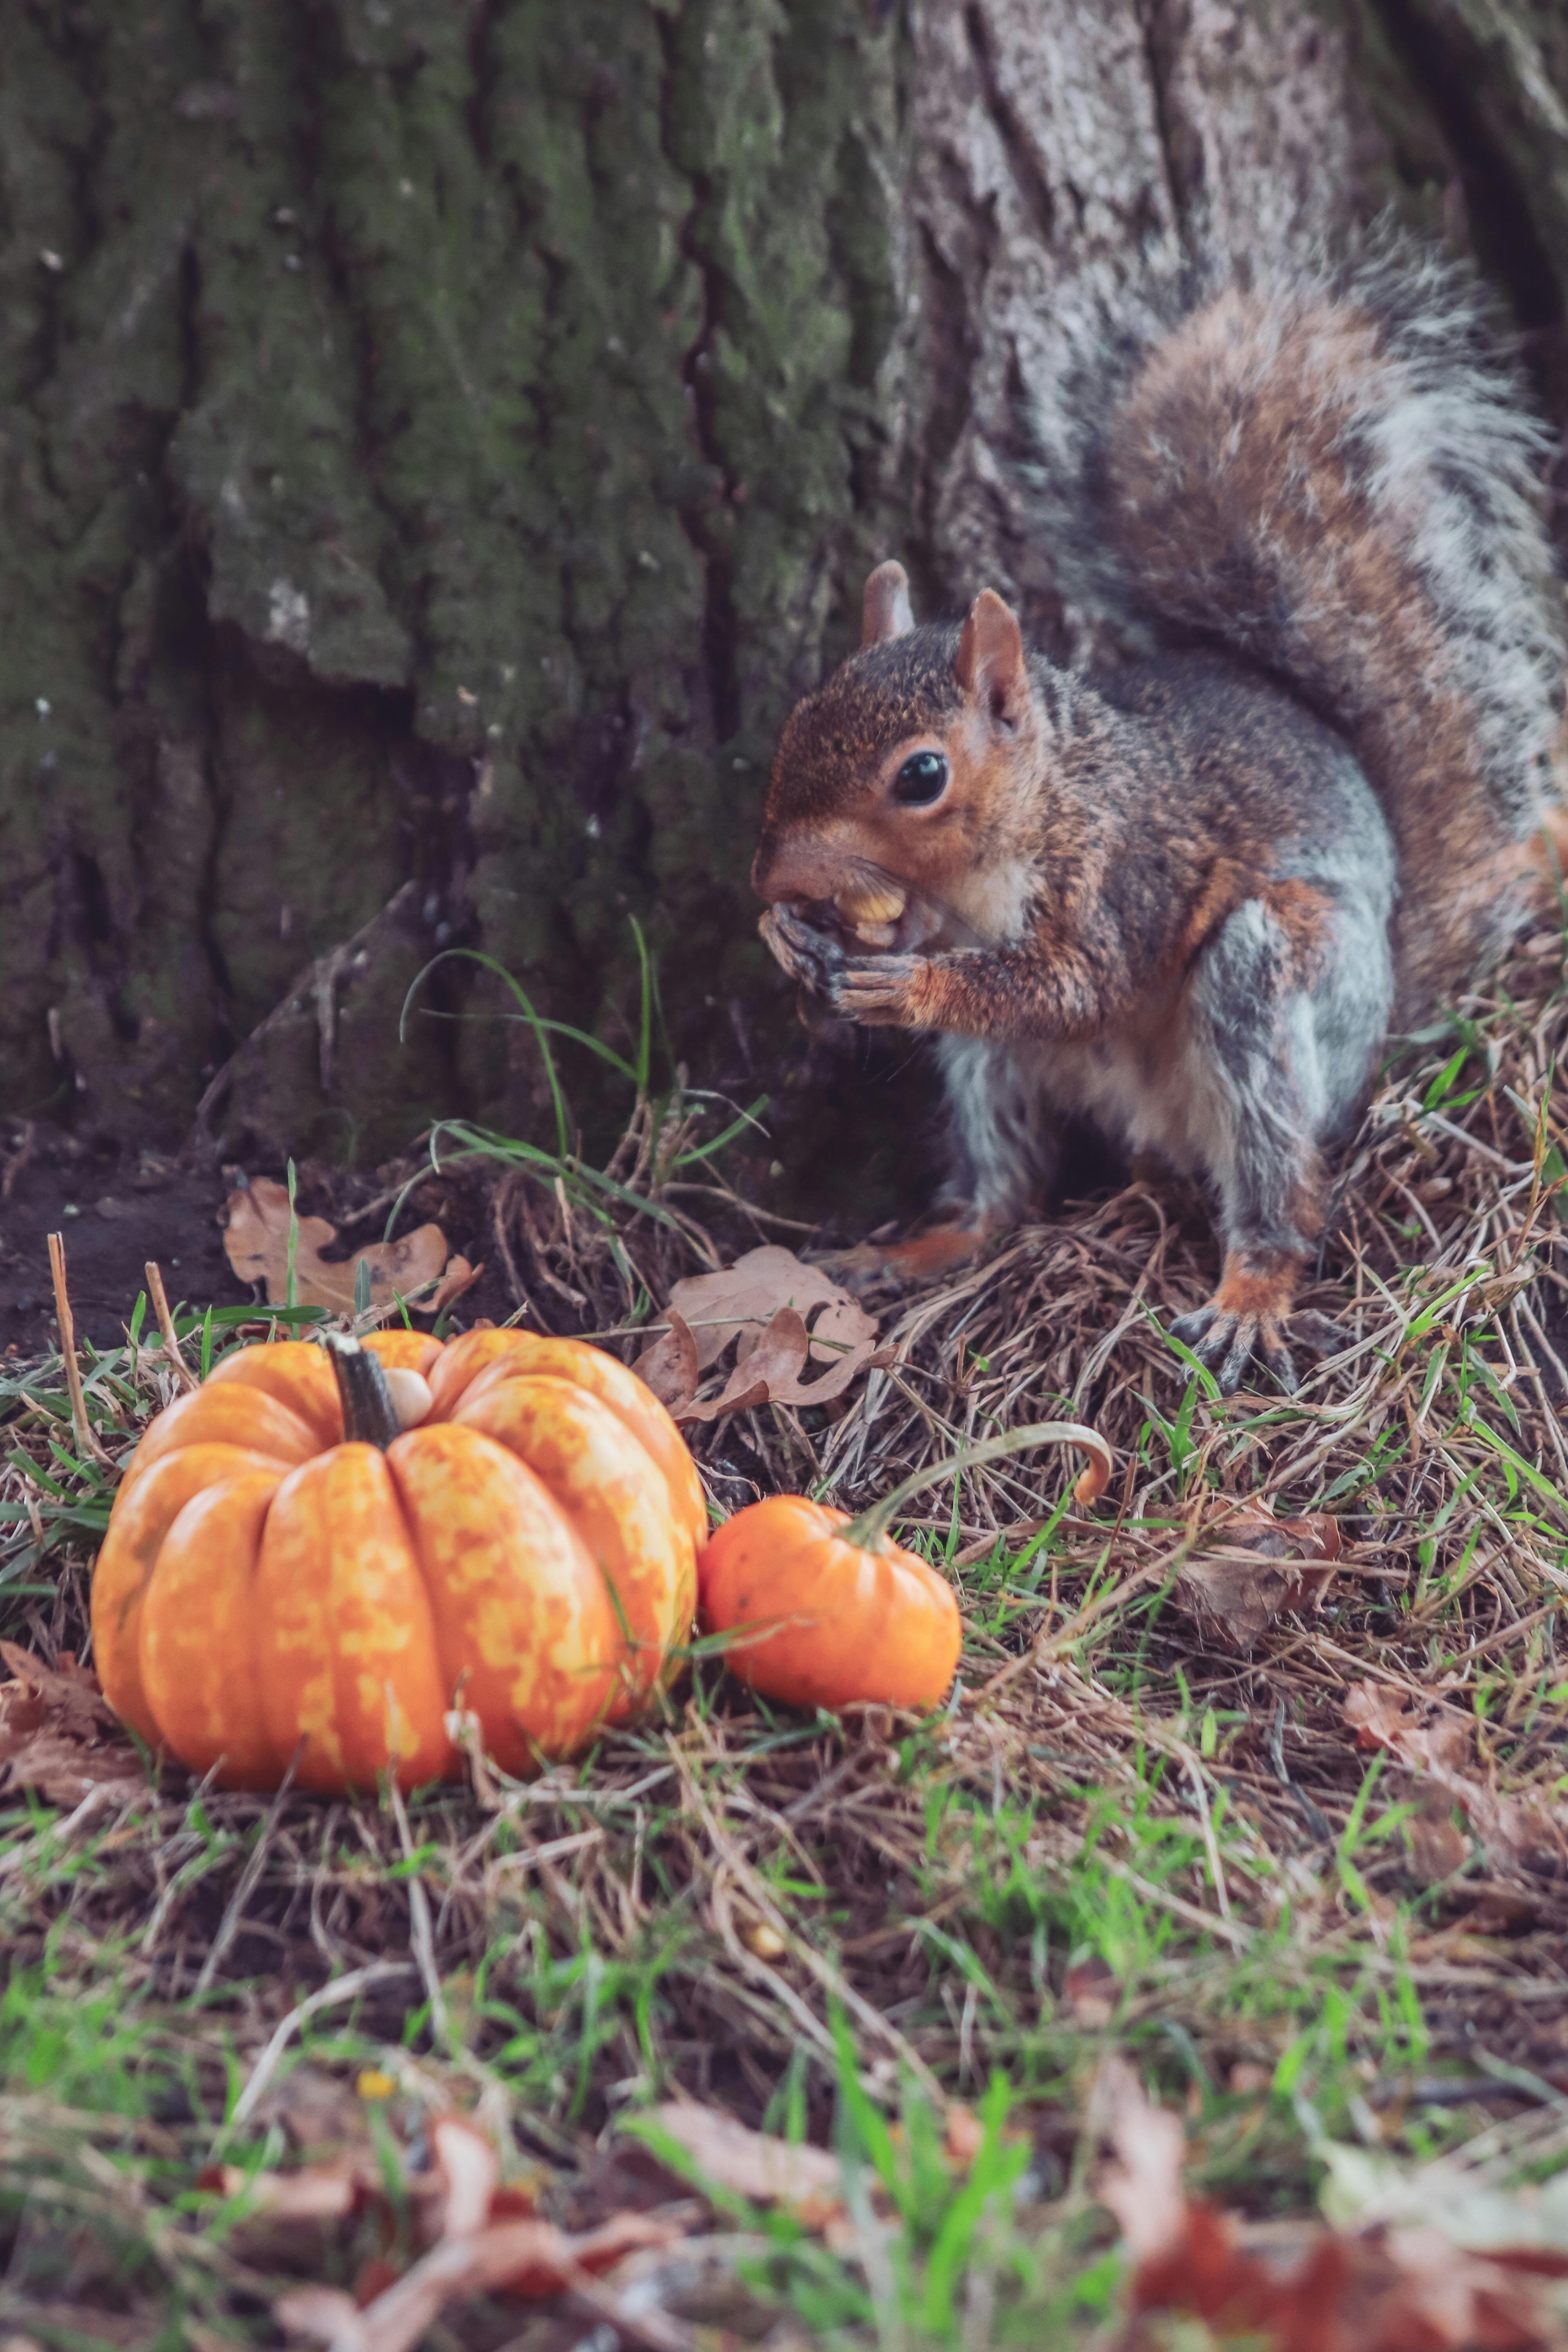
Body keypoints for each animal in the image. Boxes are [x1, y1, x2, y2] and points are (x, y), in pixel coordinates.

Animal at [751, 230, 1568, 1394]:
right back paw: (932, 1245)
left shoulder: (1124, 875)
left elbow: (1076, 986)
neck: (1028, 820)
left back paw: (1250, 1295)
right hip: (994, 1073)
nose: (774, 874)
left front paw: (910, 985)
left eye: (920, 776)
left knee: (1279, 1174)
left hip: (1271, 990)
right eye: (800, 714)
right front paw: (794, 940)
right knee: (1007, 1179)